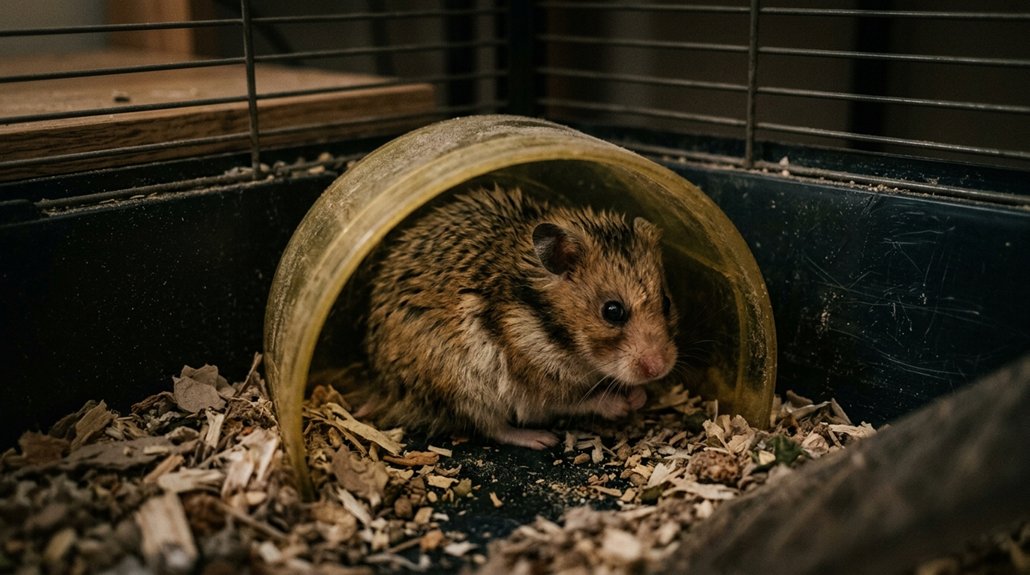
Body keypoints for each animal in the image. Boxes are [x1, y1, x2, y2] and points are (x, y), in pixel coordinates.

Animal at [361, 186, 678, 449]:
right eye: (613, 311)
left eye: (666, 302)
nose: (660, 368)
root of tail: (383, 386)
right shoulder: (539, 386)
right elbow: (578, 401)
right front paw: (623, 404)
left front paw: (640, 396)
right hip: (463, 390)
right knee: (492, 428)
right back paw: (541, 439)